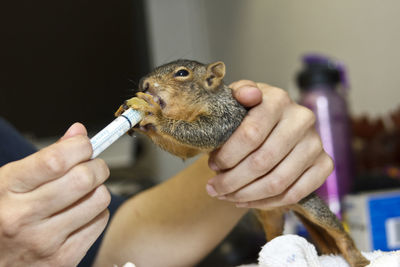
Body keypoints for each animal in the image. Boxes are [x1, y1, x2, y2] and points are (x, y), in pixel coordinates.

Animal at [115, 59, 368, 266]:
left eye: (182, 73)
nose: (144, 84)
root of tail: (289, 205)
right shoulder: (192, 144)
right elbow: (184, 149)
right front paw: (135, 117)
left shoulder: (227, 117)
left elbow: (202, 132)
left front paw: (152, 112)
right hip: (269, 216)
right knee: (275, 237)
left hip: (310, 205)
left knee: (338, 231)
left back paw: (358, 259)